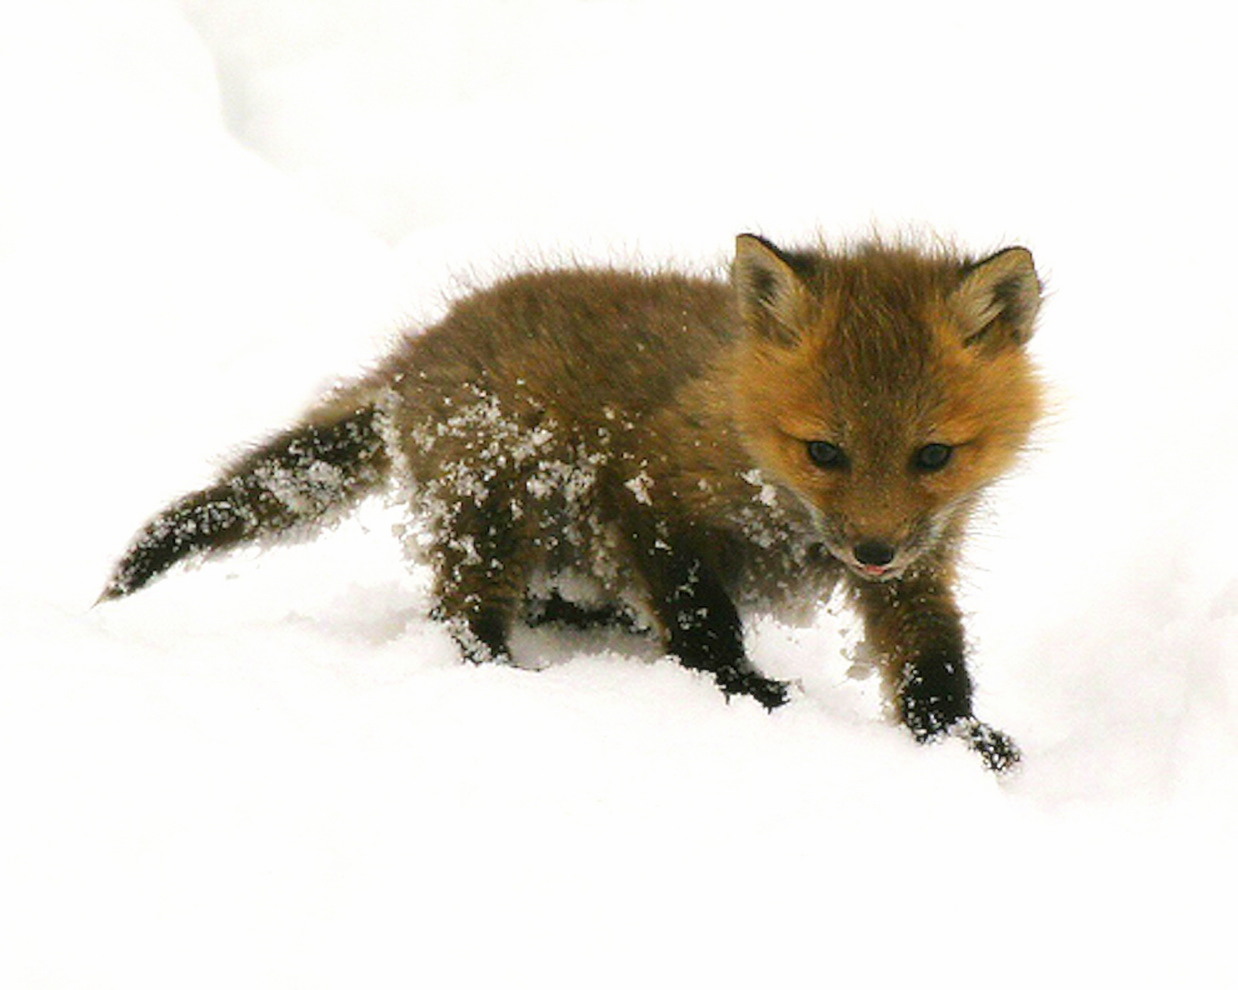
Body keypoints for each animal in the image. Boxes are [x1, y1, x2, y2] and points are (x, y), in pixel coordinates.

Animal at [99, 233, 1044, 772]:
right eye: (825, 452)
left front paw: (957, 743)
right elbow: (705, 625)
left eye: (932, 455)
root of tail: (416, 356)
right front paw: (748, 694)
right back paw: (510, 676)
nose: (871, 551)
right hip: (494, 508)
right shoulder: (649, 497)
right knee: (461, 616)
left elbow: (933, 664)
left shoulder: (921, 562)